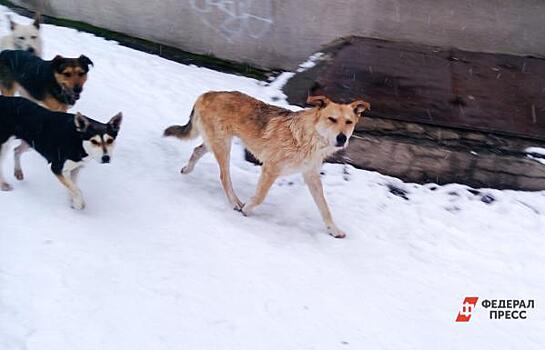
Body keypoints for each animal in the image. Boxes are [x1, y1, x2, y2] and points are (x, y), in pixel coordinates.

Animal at [165, 91, 370, 238]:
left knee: (197, 150)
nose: (342, 138)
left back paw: (187, 169)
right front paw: (247, 209)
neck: (309, 138)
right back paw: (236, 202)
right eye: (332, 119)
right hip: (223, 146)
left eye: (349, 122)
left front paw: (333, 229)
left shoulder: (311, 175)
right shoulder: (270, 169)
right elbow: (260, 196)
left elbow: (325, 207)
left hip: (215, 143)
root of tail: (207, 94)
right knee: (224, 177)